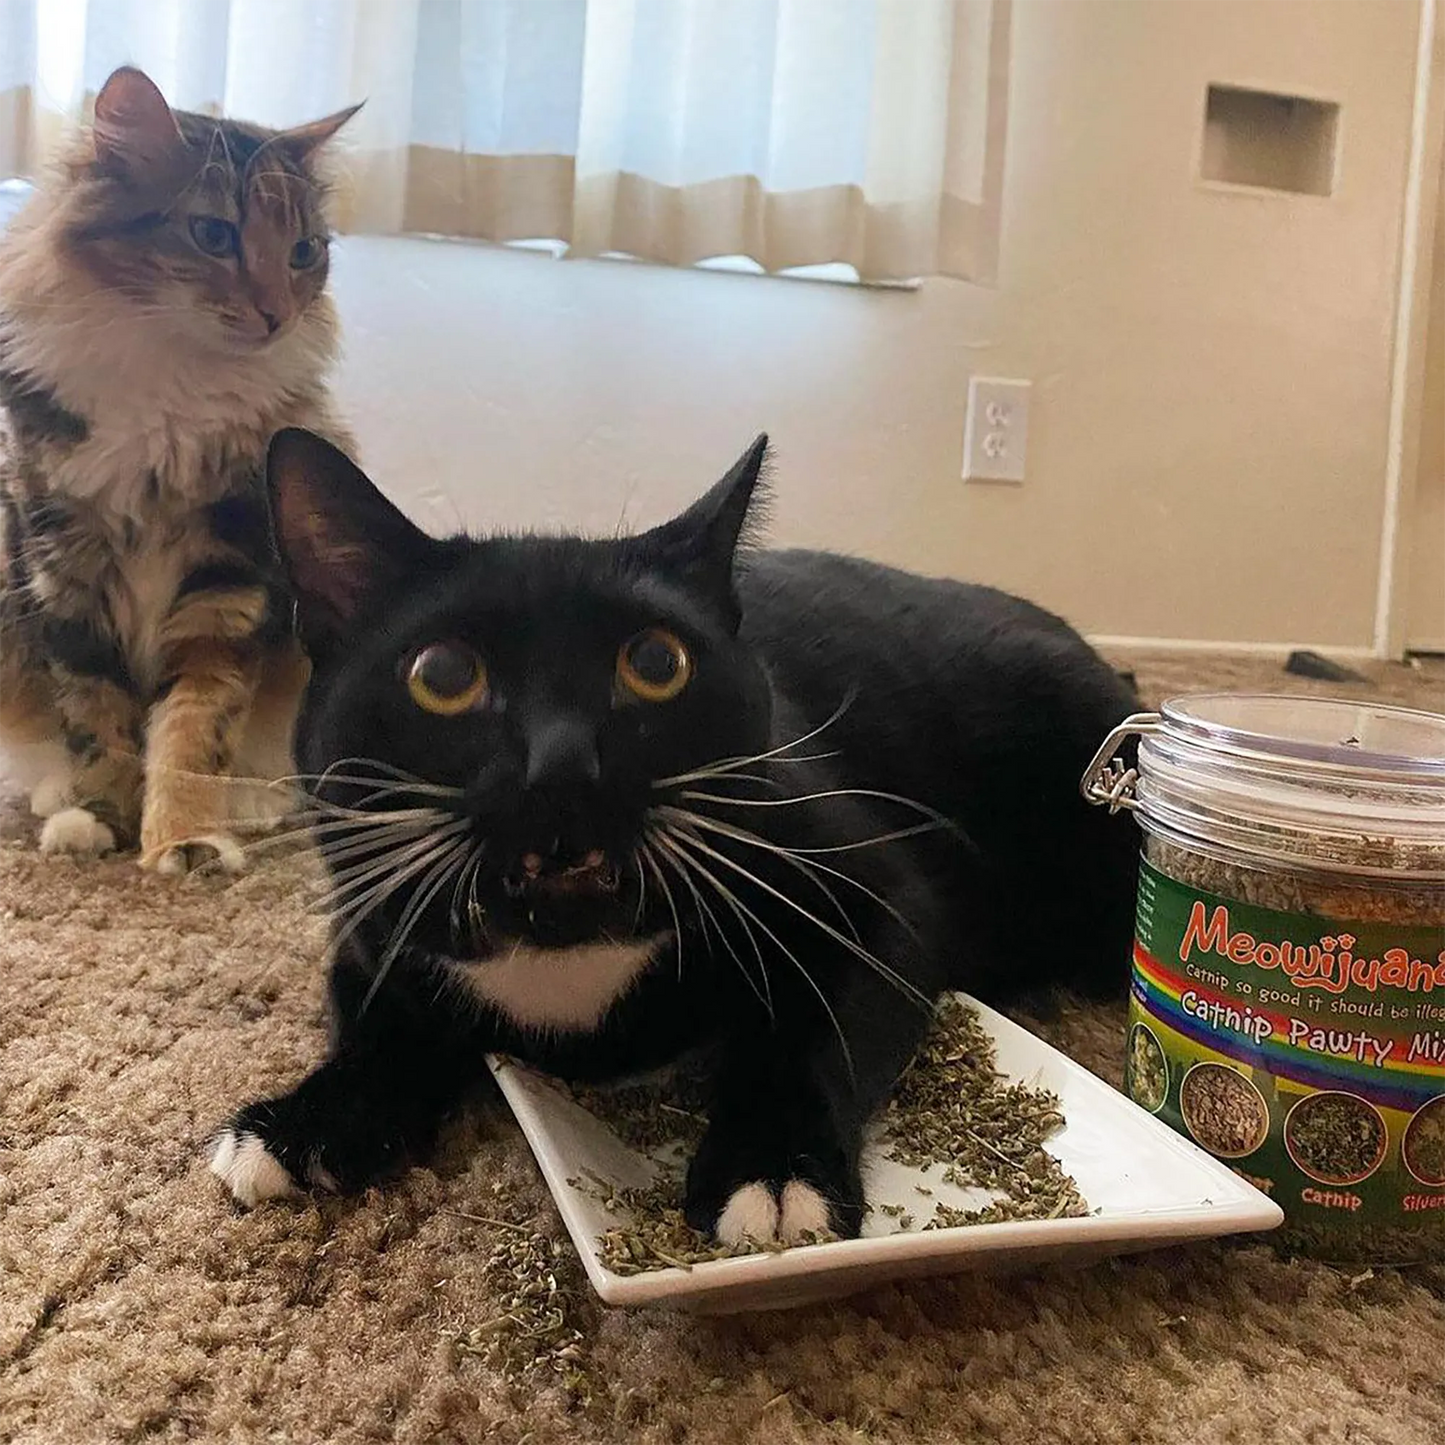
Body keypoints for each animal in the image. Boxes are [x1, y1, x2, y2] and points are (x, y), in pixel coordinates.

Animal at [0, 65, 359, 867]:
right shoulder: (64, 566)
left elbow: (196, 727)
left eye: (303, 252)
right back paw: (55, 798)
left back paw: (254, 803)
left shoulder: (227, 576)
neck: (172, 382)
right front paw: (100, 815)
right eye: (213, 234)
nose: (277, 315)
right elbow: (94, 716)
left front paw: (185, 838)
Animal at [210, 424, 1138, 1242]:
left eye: (656, 664)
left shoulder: (880, 895)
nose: (562, 762)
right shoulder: (371, 926)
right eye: (441, 675)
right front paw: (301, 1122)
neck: (565, 959)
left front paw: (772, 1170)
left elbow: (811, 1031)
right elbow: (378, 1023)